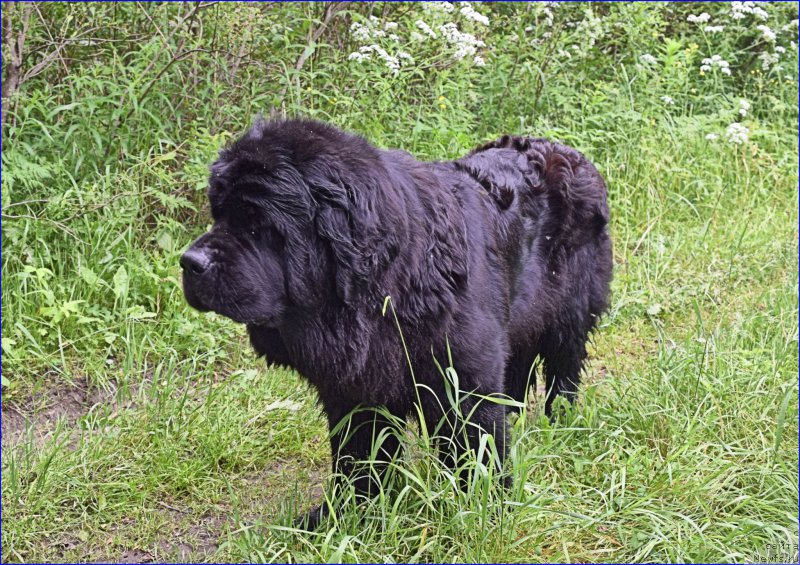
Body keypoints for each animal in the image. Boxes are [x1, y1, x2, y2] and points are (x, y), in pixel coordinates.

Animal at [183, 117, 612, 528]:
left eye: (256, 223)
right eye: (218, 215)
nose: (189, 262)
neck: (390, 290)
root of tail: (569, 152)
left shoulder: (465, 377)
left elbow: (477, 445)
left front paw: (487, 511)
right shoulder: (355, 386)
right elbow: (357, 456)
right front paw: (343, 515)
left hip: (569, 314)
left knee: (564, 370)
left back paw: (560, 424)